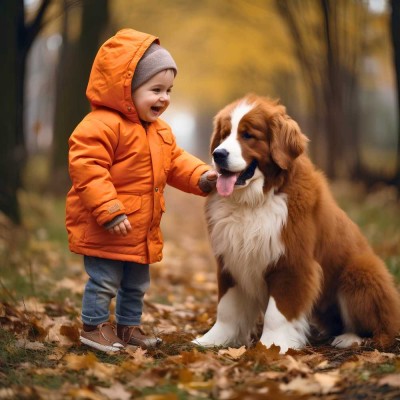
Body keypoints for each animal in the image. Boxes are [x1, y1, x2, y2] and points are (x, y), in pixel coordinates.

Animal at [193, 94, 400, 354]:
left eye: (248, 135)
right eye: (223, 134)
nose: (218, 154)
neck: (255, 200)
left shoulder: (291, 262)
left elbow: (277, 313)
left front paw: (272, 345)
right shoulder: (230, 259)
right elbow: (227, 309)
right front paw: (214, 340)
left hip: (361, 271)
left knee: (381, 329)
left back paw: (349, 338)